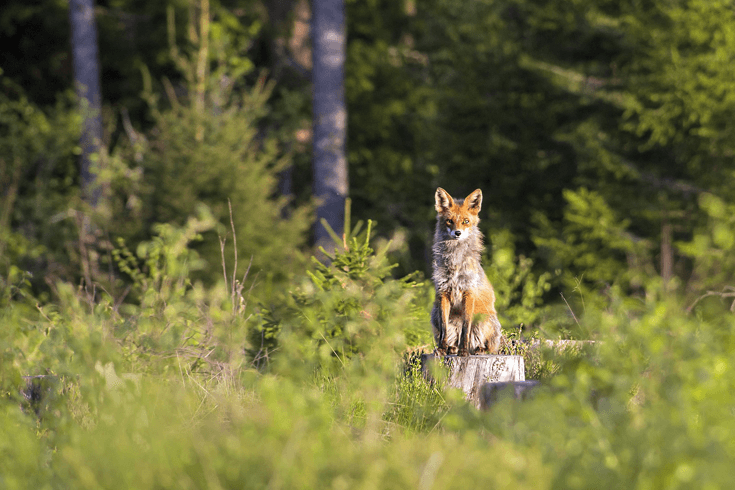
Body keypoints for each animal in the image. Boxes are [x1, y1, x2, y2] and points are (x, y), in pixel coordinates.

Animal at [432, 188, 500, 356]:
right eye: (449, 221)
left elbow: (466, 328)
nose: (457, 233)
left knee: (489, 346)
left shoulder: (468, 293)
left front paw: (464, 352)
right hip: (434, 313)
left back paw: (479, 349)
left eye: (466, 221)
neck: (455, 263)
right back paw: (452, 348)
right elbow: (444, 329)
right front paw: (442, 349)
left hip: (485, 320)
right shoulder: (443, 292)